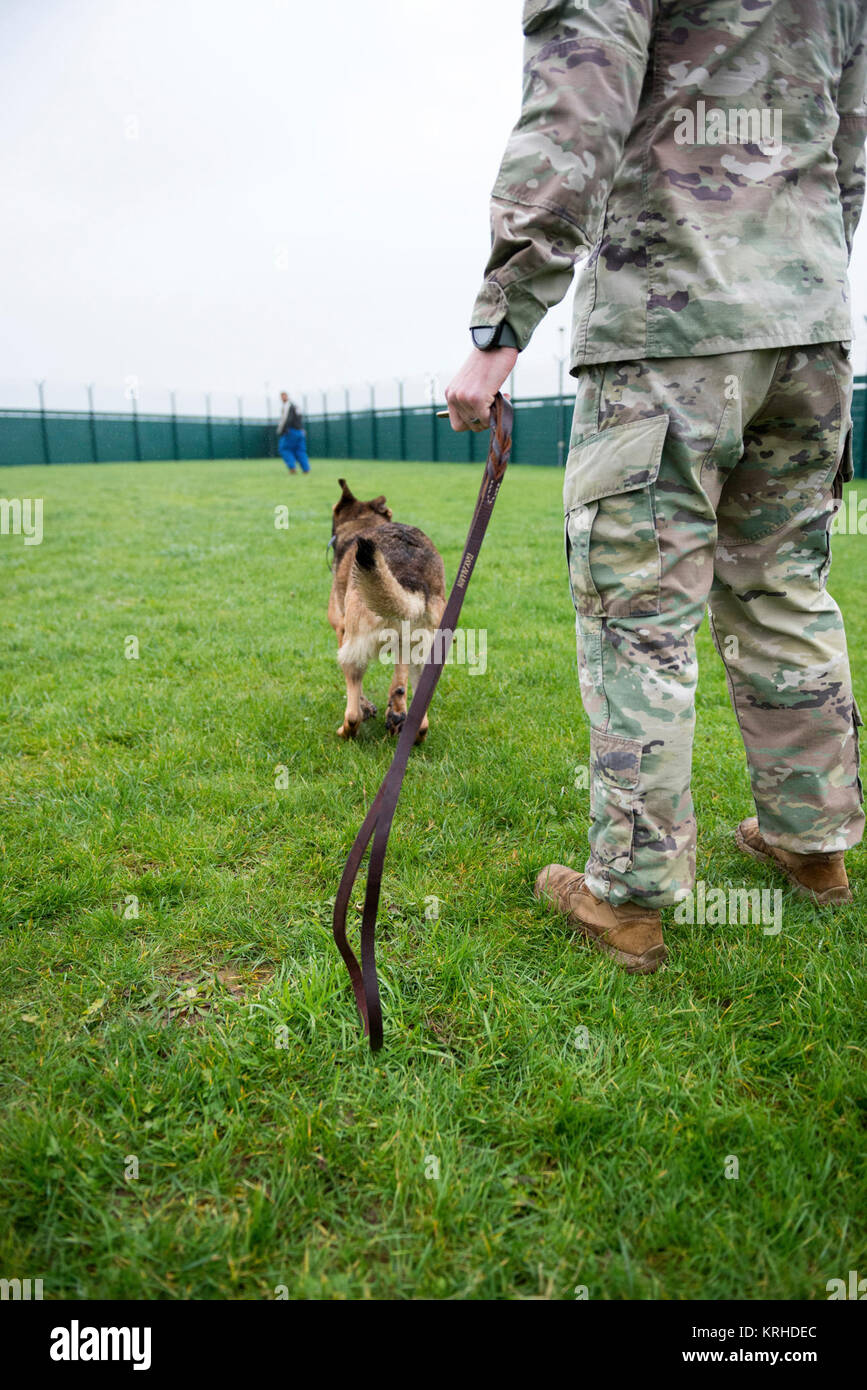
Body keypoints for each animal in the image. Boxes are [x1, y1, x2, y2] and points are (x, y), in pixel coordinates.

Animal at [326, 478, 447, 739]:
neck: (364, 521)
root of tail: (412, 575)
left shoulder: (342, 631)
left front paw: (368, 707)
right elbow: (399, 682)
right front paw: (395, 711)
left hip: (354, 647)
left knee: (353, 713)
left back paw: (346, 731)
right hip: (425, 652)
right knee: (420, 718)